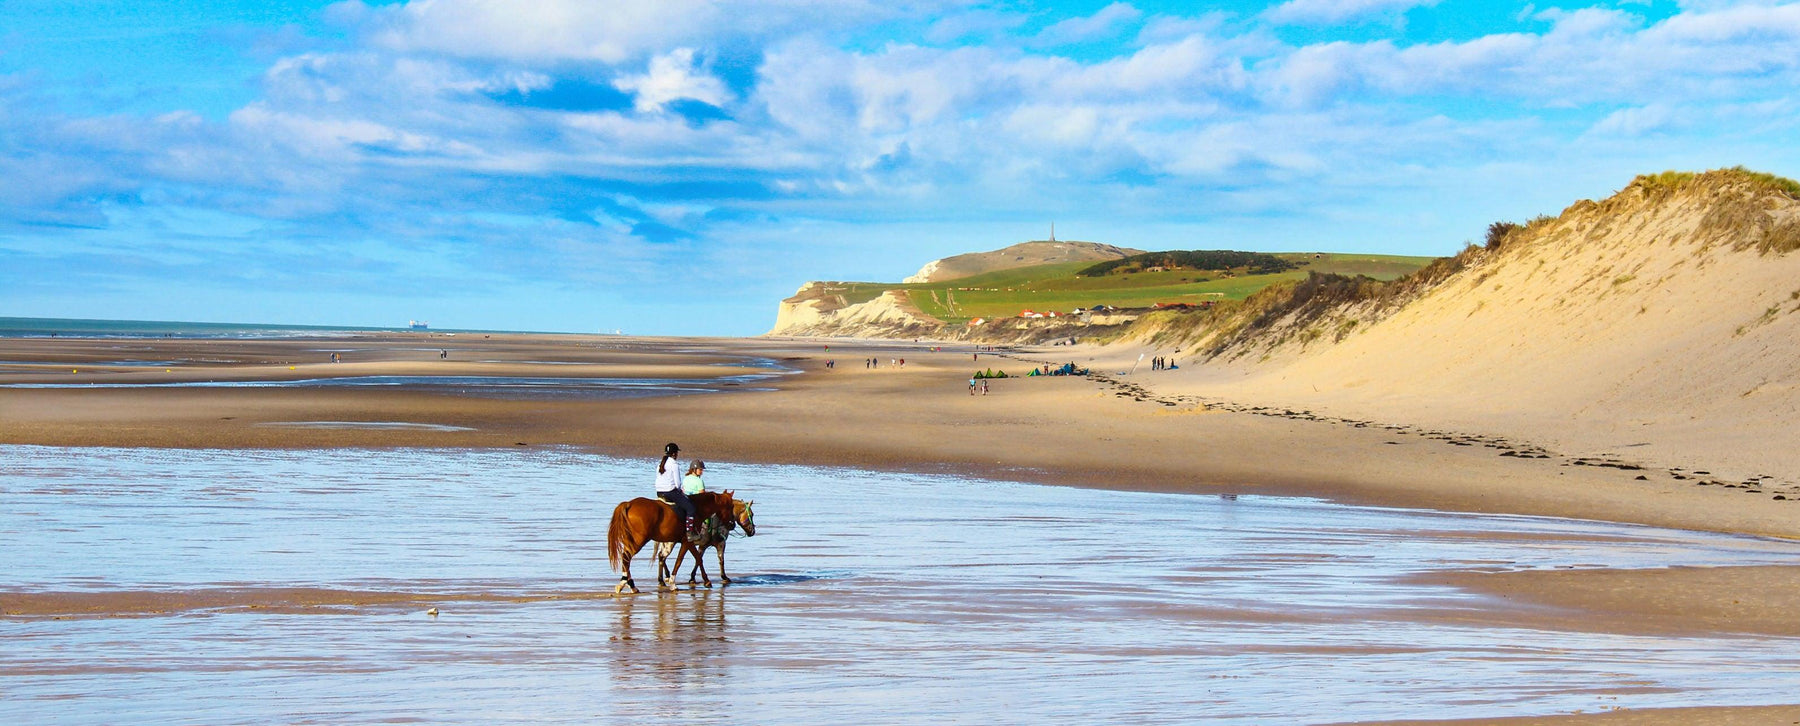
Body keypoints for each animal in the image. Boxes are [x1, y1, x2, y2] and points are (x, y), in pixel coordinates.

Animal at [604, 490, 745, 598]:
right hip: (639, 541)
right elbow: (681, 560)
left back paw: (631, 585)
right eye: (730, 507)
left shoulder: (688, 542)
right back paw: (627, 584)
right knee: (627, 557)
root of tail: (629, 504)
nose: (732, 525)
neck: (698, 507)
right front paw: (673, 583)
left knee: (627, 558)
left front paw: (705, 580)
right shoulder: (687, 541)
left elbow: (697, 558)